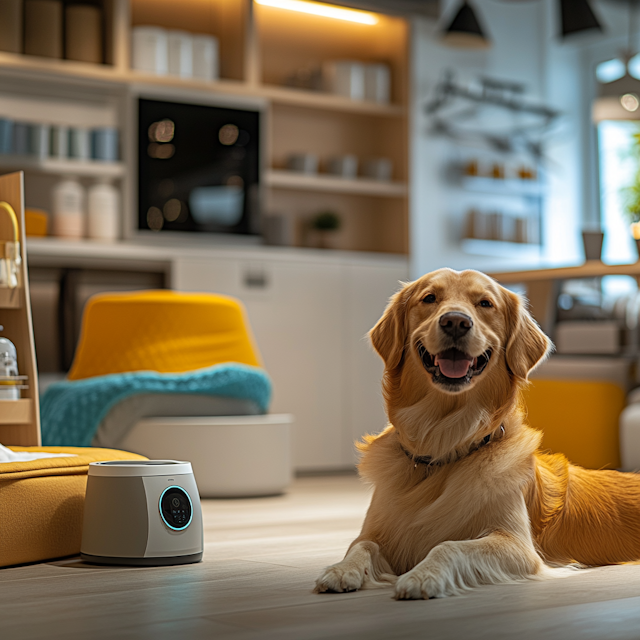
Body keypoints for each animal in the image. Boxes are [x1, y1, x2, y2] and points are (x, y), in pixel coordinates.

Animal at [312, 268, 640, 596]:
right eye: (429, 298)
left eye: (485, 303)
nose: (456, 321)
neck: (442, 441)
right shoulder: (379, 531)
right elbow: (361, 545)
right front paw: (341, 570)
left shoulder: (517, 545)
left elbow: (448, 545)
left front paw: (423, 576)